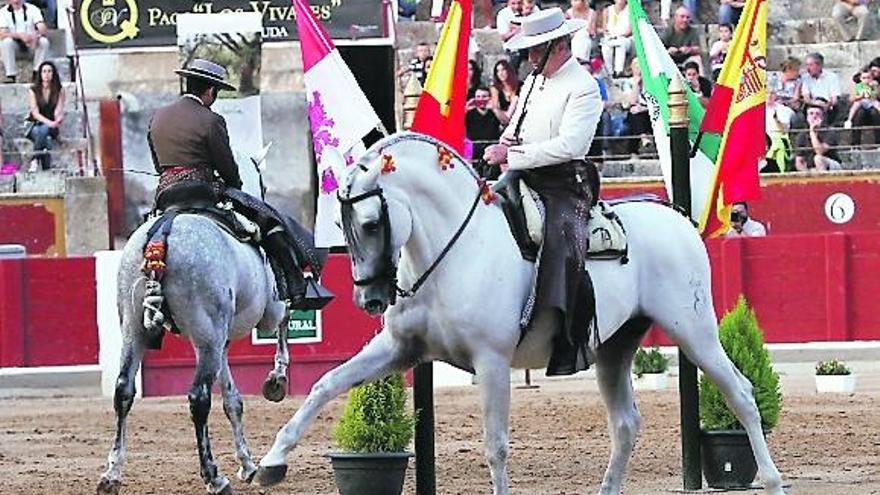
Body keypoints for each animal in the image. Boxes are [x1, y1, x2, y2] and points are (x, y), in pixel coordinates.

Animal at [254, 132, 784, 495]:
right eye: (340, 223)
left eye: (369, 223)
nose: (369, 301)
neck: (453, 249)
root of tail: (676, 218)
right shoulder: (399, 350)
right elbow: (325, 385)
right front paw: (271, 461)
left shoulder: (491, 362)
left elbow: (496, 445)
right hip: (616, 347)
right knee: (626, 423)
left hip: (694, 331)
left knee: (740, 393)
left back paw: (773, 480)